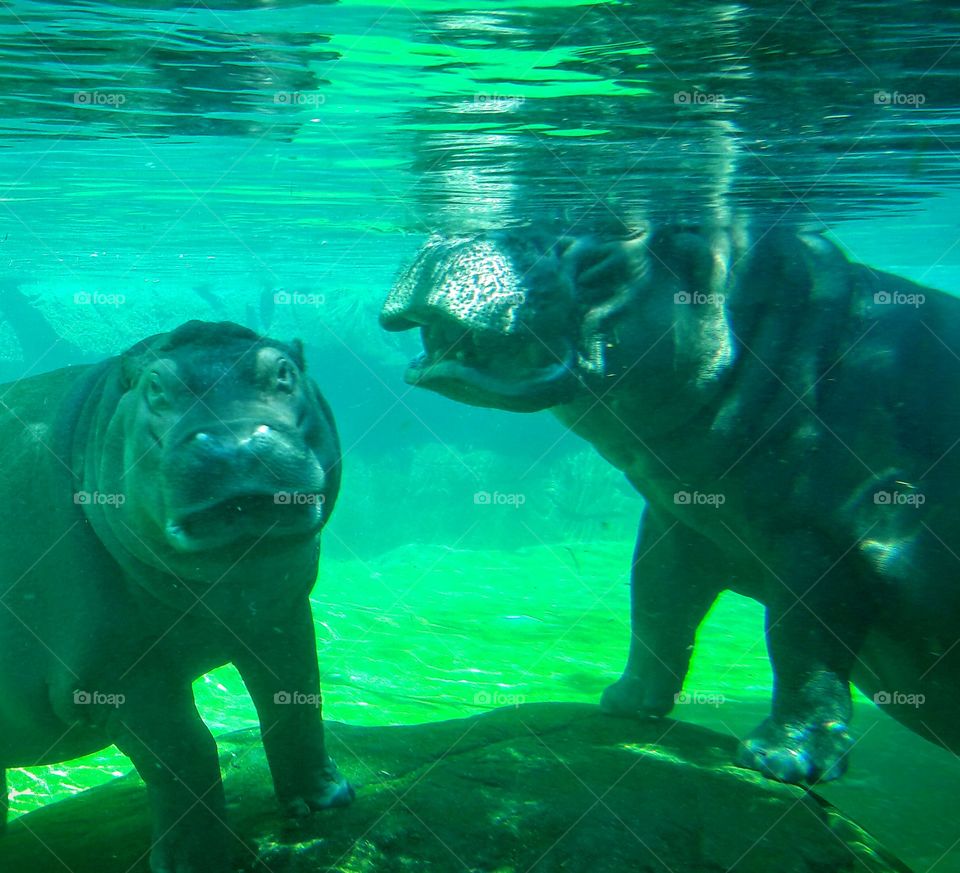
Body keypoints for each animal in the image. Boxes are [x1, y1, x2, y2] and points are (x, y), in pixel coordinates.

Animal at [0, 322, 352, 872]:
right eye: (156, 388)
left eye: (283, 371)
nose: (236, 442)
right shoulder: (114, 672)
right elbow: (187, 750)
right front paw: (199, 862)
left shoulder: (281, 615)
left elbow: (296, 700)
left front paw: (326, 799)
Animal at [380, 225, 960, 784]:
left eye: (602, 256)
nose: (453, 236)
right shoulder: (679, 520)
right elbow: (657, 604)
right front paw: (624, 703)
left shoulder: (824, 540)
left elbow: (801, 643)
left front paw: (780, 761)